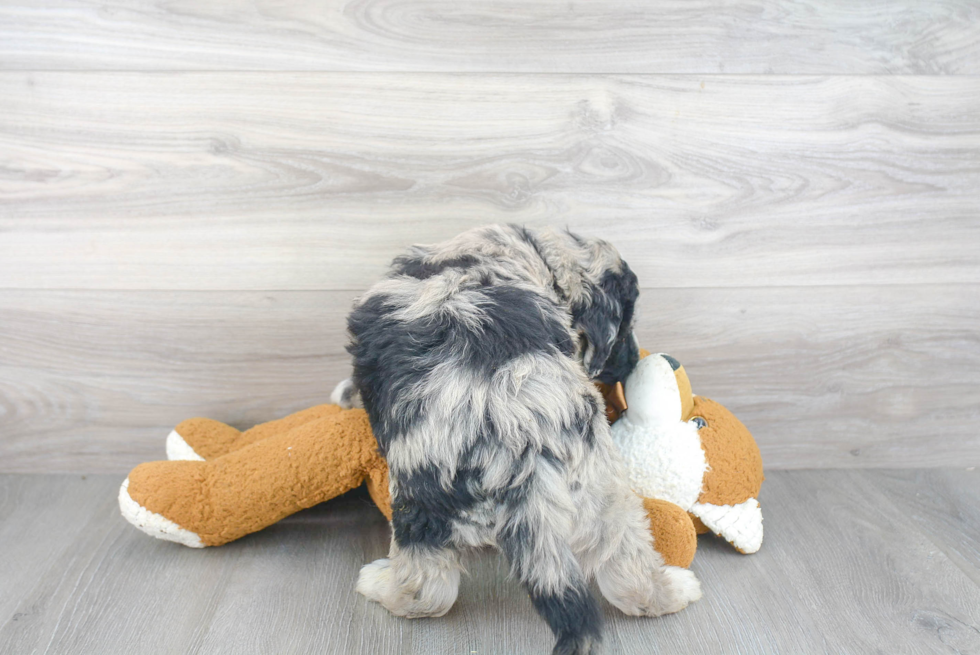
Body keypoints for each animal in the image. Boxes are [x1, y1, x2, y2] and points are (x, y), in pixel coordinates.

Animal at [334, 227, 700, 655]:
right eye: (625, 325)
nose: (632, 362)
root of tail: (523, 435)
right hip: (604, 488)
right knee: (628, 568)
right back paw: (674, 590)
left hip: (419, 491)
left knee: (426, 589)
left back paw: (378, 584)